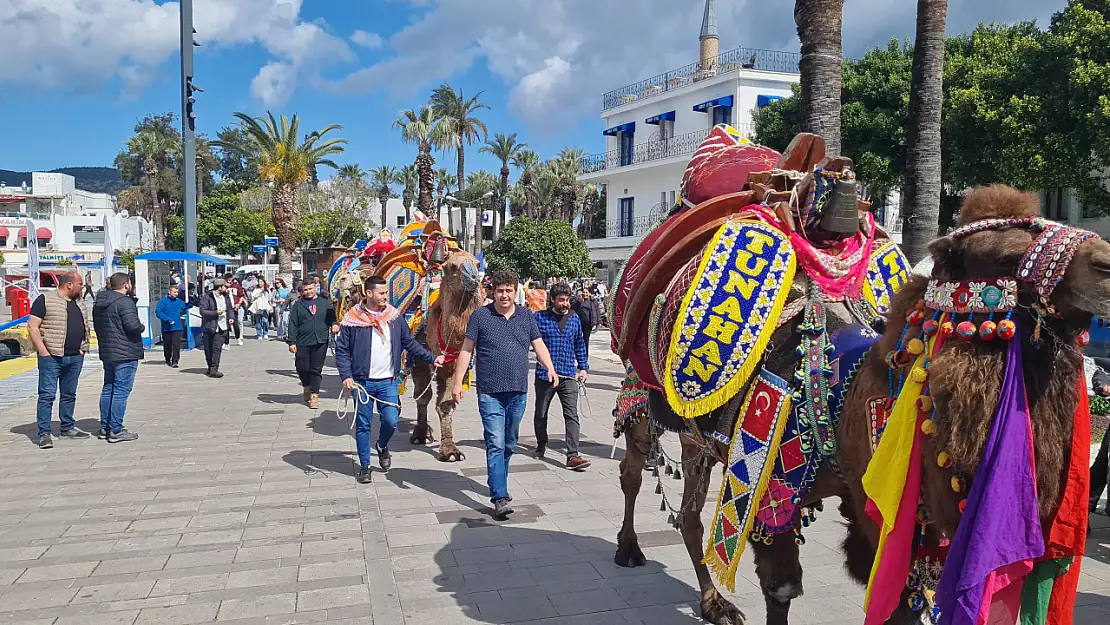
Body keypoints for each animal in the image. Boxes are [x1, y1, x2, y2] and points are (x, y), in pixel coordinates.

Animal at [406, 247, 479, 461]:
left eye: (478, 264)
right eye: (453, 267)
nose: (474, 277)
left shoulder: (453, 363)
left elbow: (446, 403)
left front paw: (450, 450)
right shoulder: (420, 356)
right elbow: (423, 396)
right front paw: (422, 435)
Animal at [612, 124, 1105, 621]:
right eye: (1001, 256)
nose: (1104, 261)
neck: (841, 396)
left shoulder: (878, 505)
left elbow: (902, 597)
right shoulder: (765, 479)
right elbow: (781, 588)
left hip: (697, 439)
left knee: (690, 515)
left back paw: (713, 602)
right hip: (643, 402)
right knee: (634, 473)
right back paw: (631, 549)